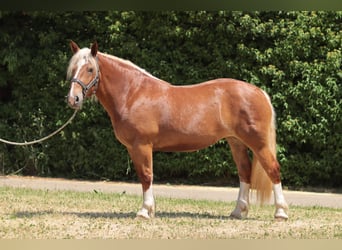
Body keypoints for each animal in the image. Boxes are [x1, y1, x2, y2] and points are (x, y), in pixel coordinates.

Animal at [65, 41, 288, 221]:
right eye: (73, 68)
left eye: (90, 69)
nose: (73, 99)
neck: (133, 93)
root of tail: (259, 92)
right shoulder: (134, 148)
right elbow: (144, 176)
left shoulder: (142, 145)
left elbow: (146, 176)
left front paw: (145, 211)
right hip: (236, 142)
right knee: (244, 172)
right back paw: (238, 212)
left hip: (258, 143)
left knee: (273, 169)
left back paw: (280, 213)